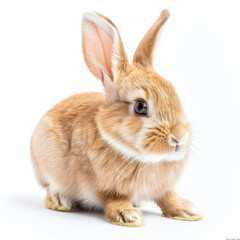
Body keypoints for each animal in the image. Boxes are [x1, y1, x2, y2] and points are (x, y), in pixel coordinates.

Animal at [30, 9, 202, 227]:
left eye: (175, 94)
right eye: (140, 107)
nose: (178, 138)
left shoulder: (162, 189)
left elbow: (166, 197)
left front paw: (187, 211)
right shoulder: (105, 188)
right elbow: (114, 199)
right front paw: (128, 216)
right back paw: (61, 201)